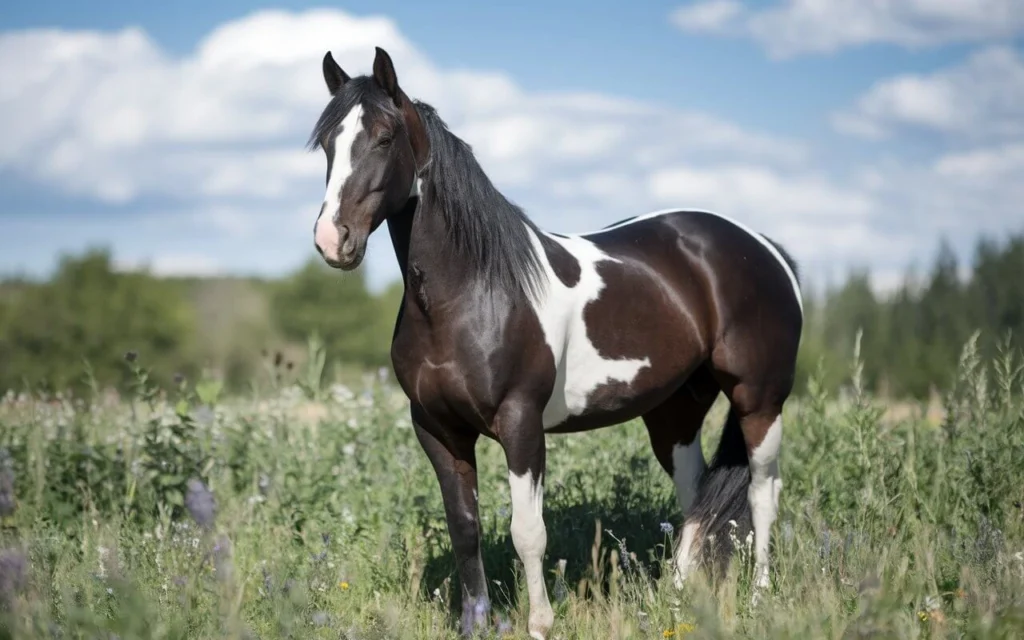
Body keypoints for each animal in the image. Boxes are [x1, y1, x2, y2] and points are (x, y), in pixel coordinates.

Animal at [307, 46, 802, 638]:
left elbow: (528, 532)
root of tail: (764, 248)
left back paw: (759, 599)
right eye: (328, 143)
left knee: (762, 493)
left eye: (384, 137)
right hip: (674, 412)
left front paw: (539, 623)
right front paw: (476, 624)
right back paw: (677, 600)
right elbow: (465, 528)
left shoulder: (520, 424)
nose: (332, 240)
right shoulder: (437, 430)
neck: (473, 295)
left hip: (760, 401)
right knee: (695, 497)